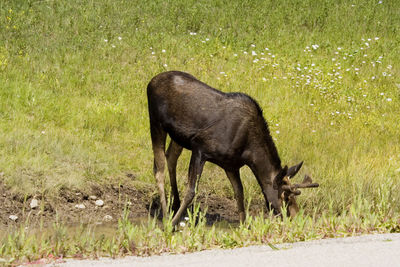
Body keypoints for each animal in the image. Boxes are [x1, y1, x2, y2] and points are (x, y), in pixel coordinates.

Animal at [147, 70, 318, 226]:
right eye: (286, 196)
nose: (296, 218)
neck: (249, 154)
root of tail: (151, 81)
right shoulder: (199, 149)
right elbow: (191, 191)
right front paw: (172, 225)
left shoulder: (231, 165)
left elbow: (239, 193)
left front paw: (244, 226)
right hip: (156, 123)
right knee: (159, 169)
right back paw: (166, 215)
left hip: (178, 137)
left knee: (170, 158)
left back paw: (175, 204)